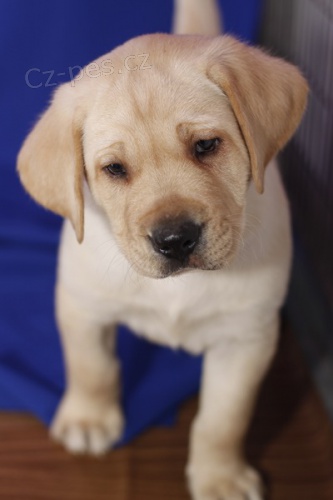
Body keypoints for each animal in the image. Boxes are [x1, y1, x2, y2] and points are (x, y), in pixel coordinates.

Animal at [16, 0, 306, 500]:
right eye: (114, 169)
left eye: (206, 145)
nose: (175, 239)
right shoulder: (81, 304)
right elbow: (90, 366)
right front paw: (89, 418)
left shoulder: (246, 337)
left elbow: (223, 420)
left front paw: (219, 476)